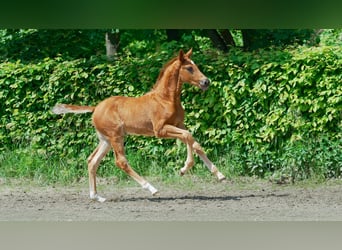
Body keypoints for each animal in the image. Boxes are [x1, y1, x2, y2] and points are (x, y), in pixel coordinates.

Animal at [52, 48, 224, 201]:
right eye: (189, 68)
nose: (206, 81)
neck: (165, 99)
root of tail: (95, 108)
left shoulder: (179, 124)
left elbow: (195, 143)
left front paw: (219, 175)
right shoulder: (160, 130)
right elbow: (188, 137)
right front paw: (184, 169)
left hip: (106, 140)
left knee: (92, 161)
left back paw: (97, 197)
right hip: (116, 136)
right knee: (121, 161)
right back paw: (151, 188)